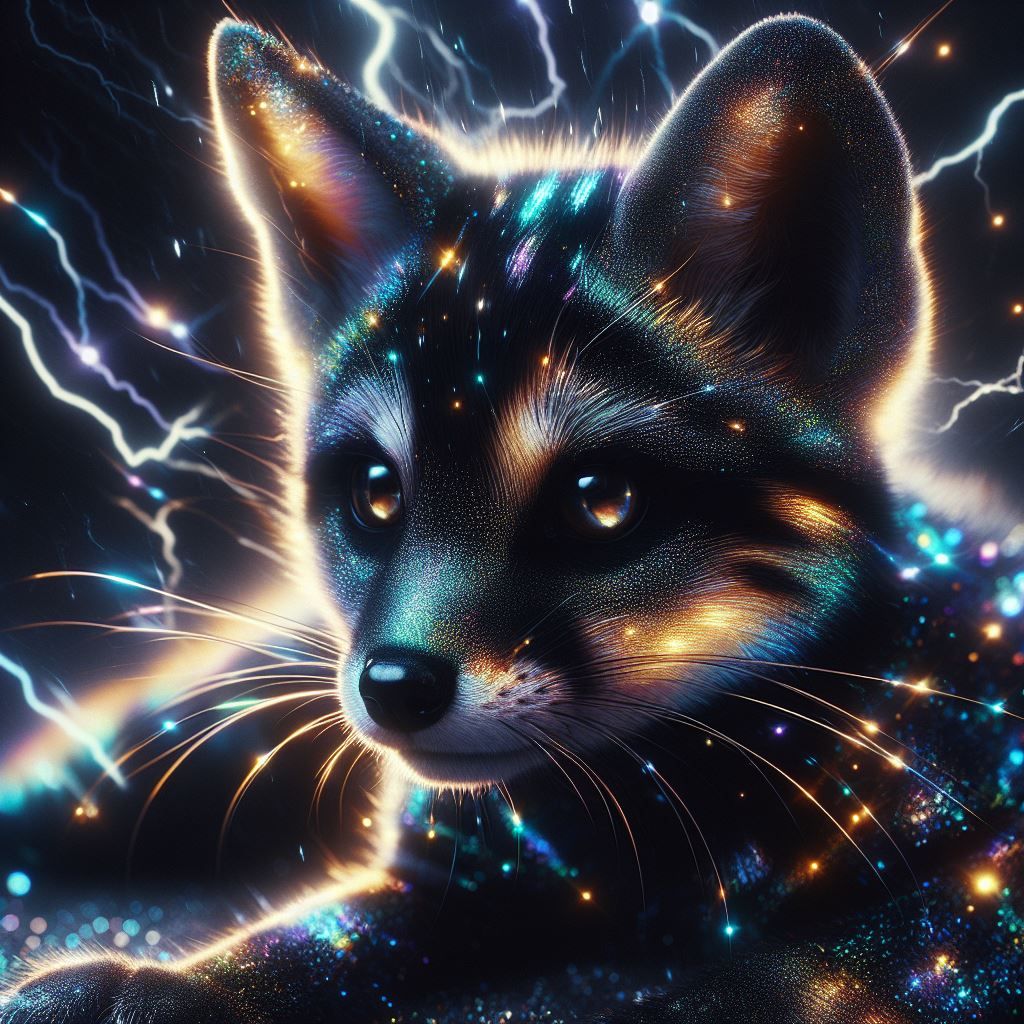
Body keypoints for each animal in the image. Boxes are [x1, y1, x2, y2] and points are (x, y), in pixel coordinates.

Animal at [3, 12, 1022, 1024]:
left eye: (602, 500)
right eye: (378, 493)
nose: (395, 686)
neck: (652, 839)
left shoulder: (987, 861)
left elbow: (834, 960)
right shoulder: (457, 882)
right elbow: (298, 942)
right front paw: (149, 985)